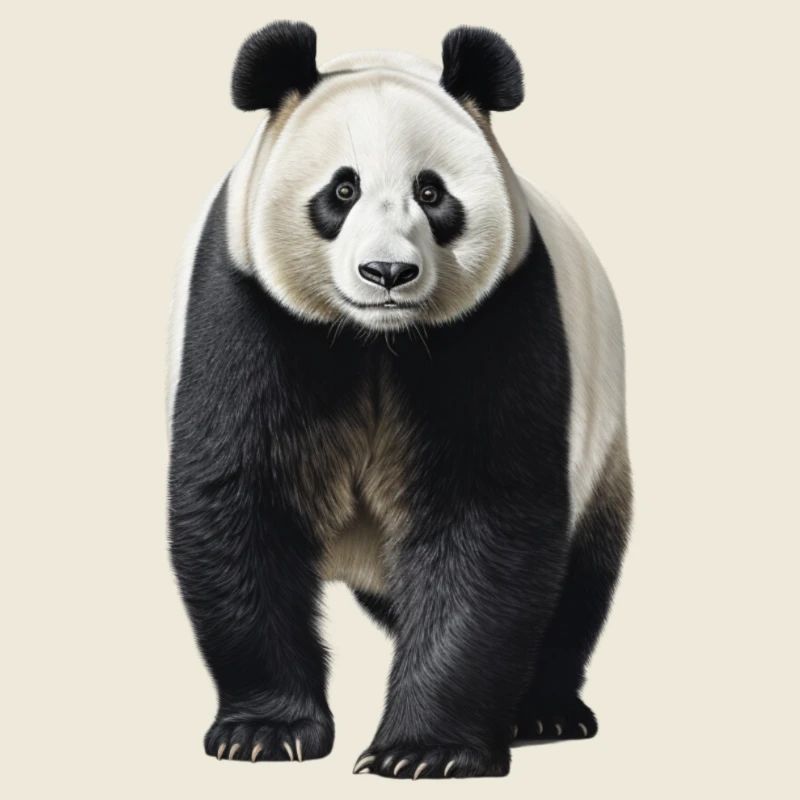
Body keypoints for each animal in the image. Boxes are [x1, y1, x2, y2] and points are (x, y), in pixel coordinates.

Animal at [168, 20, 632, 780]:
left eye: (433, 192)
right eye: (342, 189)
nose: (387, 272)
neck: (375, 339)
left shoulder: (498, 317)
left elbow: (483, 515)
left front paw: (425, 751)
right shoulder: (248, 308)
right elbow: (241, 496)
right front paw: (266, 732)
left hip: (603, 437)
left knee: (579, 579)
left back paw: (543, 710)